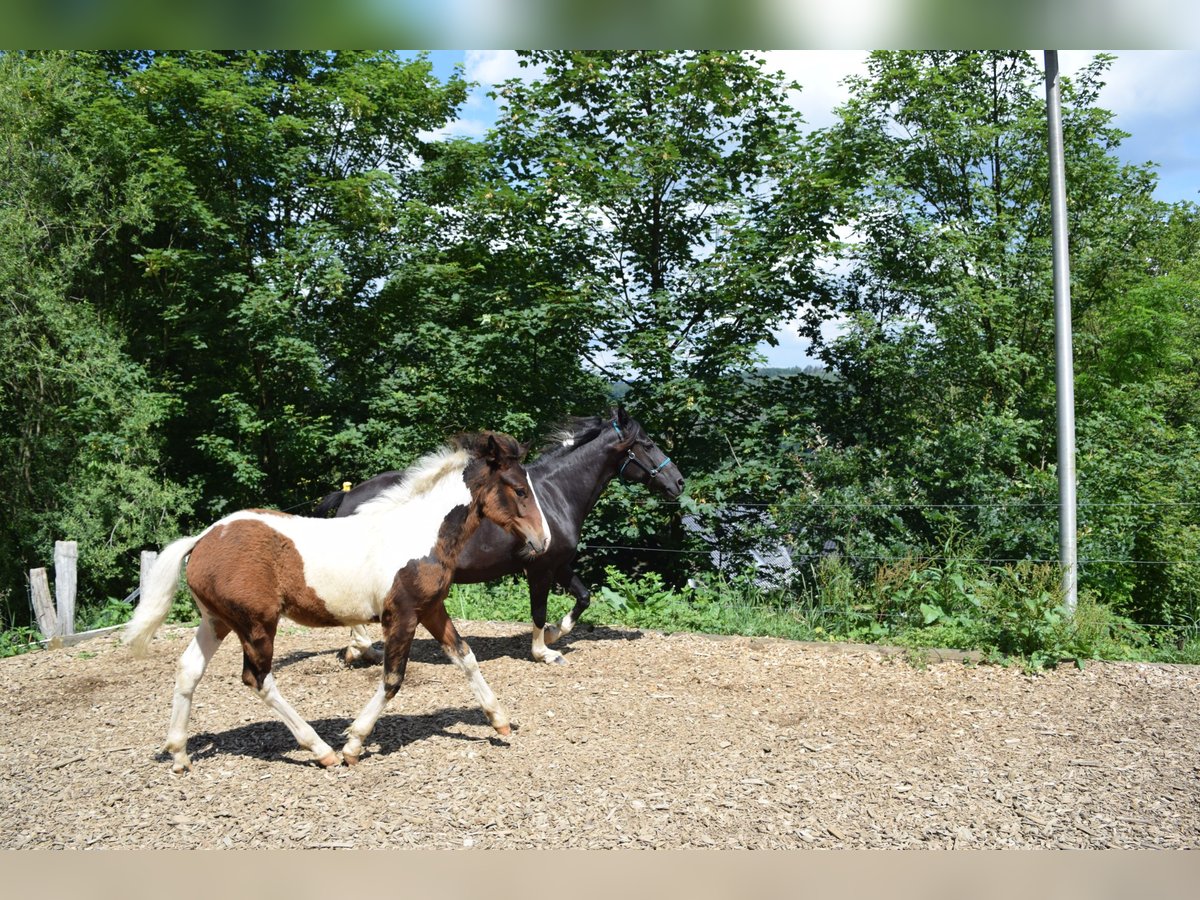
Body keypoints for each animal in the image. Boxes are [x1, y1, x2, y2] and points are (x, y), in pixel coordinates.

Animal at [125, 434, 549, 772]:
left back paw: (179, 754)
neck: (418, 534)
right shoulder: (402, 615)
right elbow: (393, 679)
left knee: (189, 669)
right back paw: (322, 750)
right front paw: (353, 744)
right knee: (258, 679)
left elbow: (465, 656)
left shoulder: (430, 609)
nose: (542, 540)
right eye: (519, 489)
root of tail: (202, 539)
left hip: (217, 620)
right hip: (256, 624)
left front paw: (500, 721)